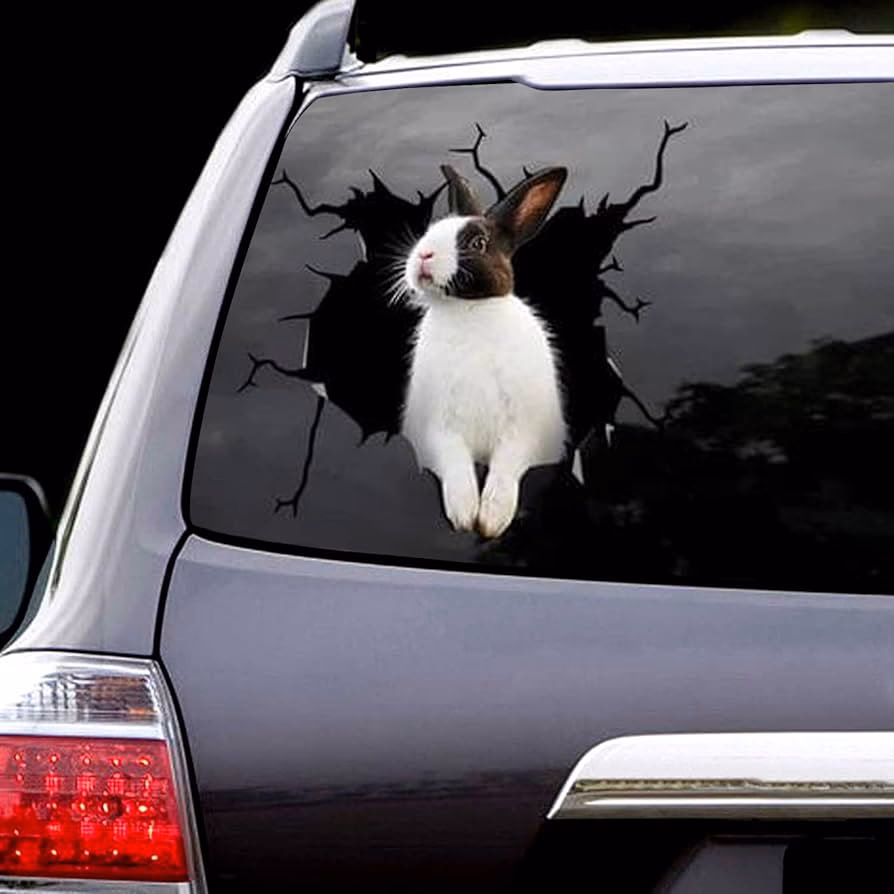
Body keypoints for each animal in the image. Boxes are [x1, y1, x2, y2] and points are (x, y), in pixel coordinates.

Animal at [400, 163, 569, 538]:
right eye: (431, 231)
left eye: (478, 243)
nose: (423, 255)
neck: (468, 311)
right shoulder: (439, 429)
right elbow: (455, 463)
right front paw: (464, 515)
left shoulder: (523, 430)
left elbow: (506, 466)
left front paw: (491, 519)